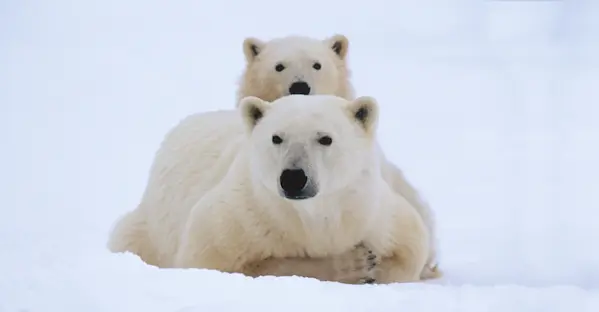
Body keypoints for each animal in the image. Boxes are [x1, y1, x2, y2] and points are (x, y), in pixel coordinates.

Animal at [108, 94, 432, 284]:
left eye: (325, 138)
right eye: (277, 137)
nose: (293, 177)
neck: (311, 216)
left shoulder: (373, 212)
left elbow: (411, 246)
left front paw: (375, 267)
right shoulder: (242, 215)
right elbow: (211, 261)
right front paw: (354, 265)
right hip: (149, 227)